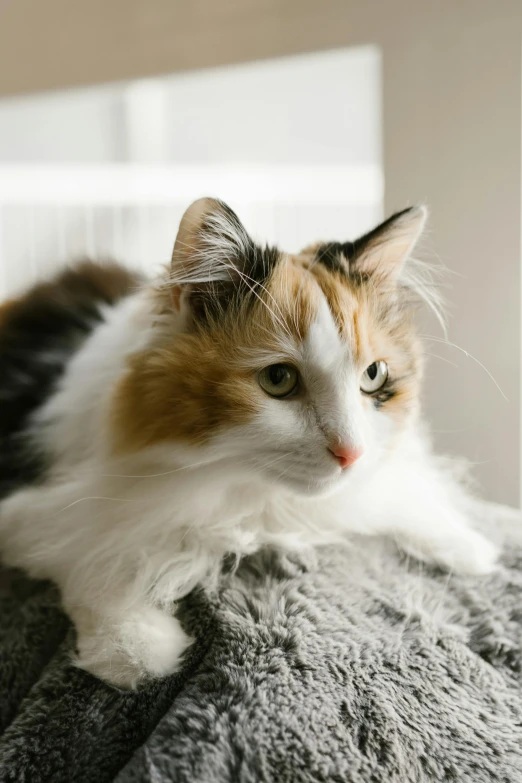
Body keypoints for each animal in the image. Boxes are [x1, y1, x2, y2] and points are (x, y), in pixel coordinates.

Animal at [0, 196, 496, 688]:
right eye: (278, 379)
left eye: (373, 375)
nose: (351, 453)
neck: (250, 492)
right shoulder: (36, 509)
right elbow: (92, 558)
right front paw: (133, 649)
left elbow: (404, 498)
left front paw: (471, 550)